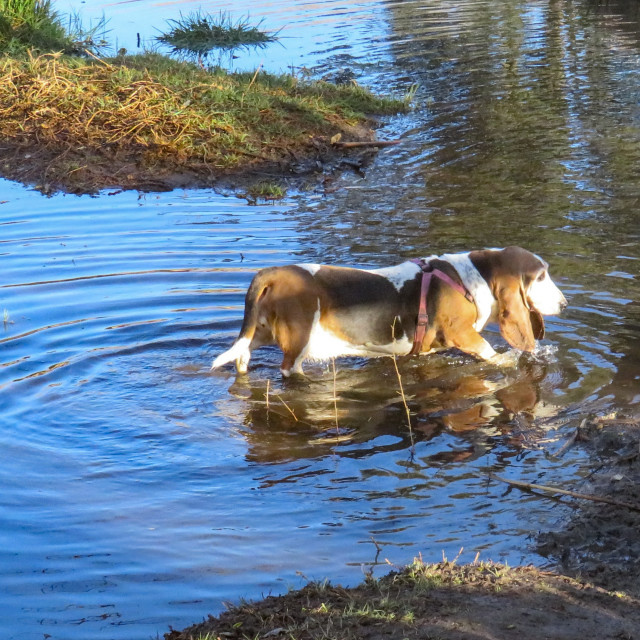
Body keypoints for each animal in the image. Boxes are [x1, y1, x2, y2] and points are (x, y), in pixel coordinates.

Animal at [211, 244, 564, 376]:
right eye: (540, 276)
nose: (564, 303)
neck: (476, 277)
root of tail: (272, 273)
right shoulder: (460, 332)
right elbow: (489, 351)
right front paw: (508, 361)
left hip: (263, 330)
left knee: (243, 353)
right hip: (299, 342)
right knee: (287, 368)